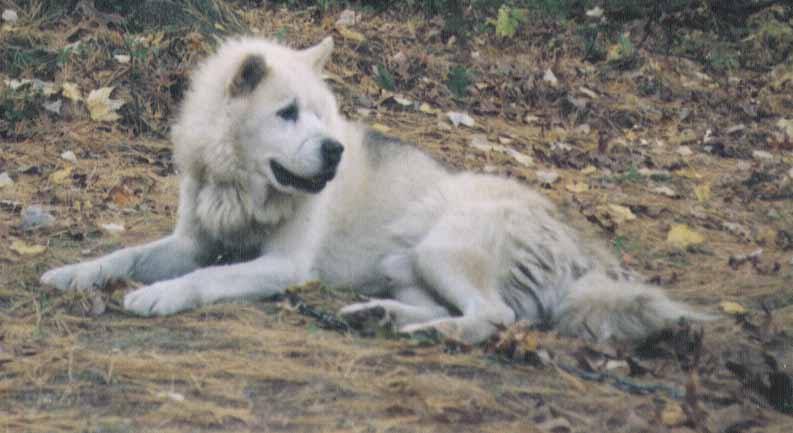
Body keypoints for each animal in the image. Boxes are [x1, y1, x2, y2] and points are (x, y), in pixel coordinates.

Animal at [41, 36, 712, 340]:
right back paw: (377, 316)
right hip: (405, 265)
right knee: (458, 308)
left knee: (490, 317)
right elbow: (123, 255)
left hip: (441, 247)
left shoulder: (283, 267)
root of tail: (581, 248)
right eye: (288, 113)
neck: (240, 187)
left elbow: (207, 279)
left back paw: (424, 334)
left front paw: (160, 296)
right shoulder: (188, 242)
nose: (334, 151)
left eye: (325, 117)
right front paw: (73, 273)